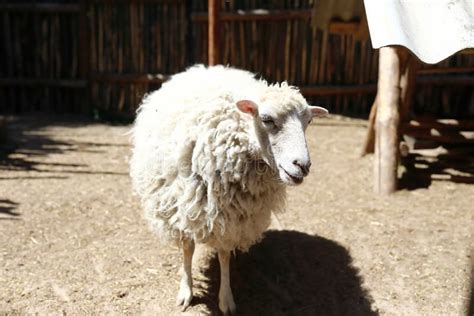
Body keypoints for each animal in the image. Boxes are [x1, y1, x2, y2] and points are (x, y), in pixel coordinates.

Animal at [131, 64, 330, 314]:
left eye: (309, 122)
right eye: (266, 119)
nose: (302, 166)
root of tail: (208, 68)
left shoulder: (233, 219)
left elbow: (224, 255)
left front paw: (226, 299)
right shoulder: (183, 207)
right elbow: (187, 249)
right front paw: (186, 290)